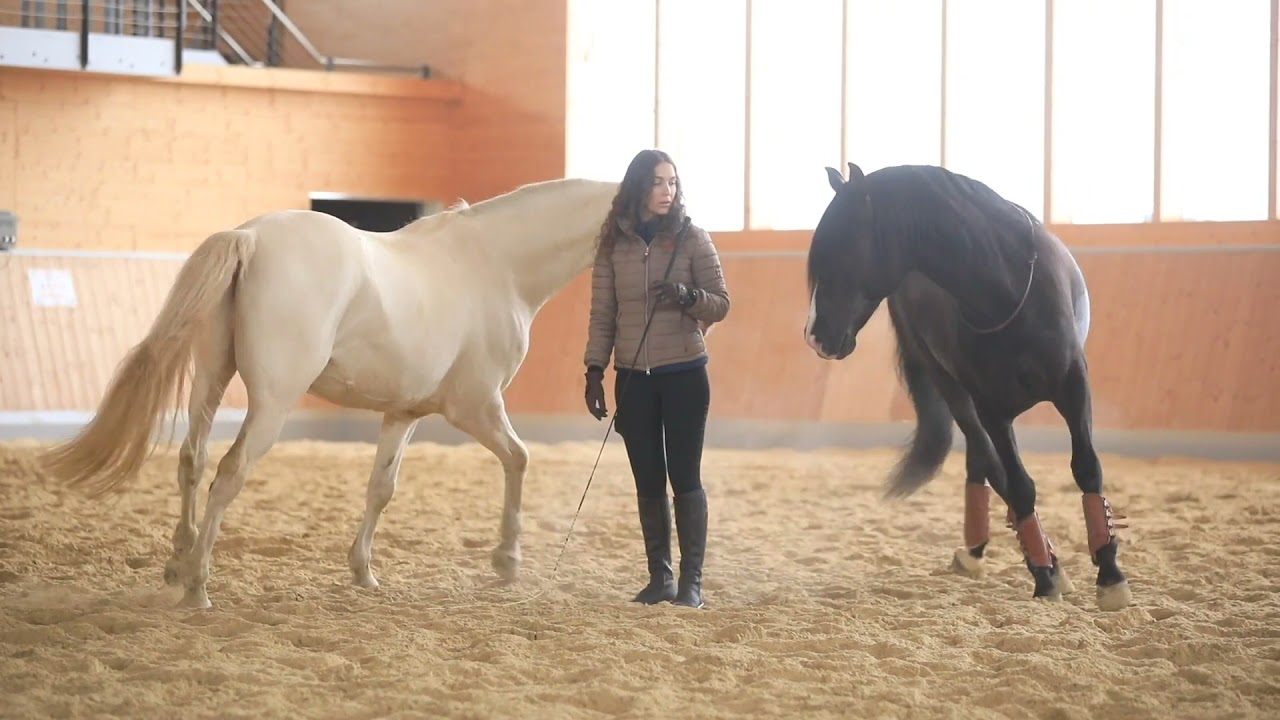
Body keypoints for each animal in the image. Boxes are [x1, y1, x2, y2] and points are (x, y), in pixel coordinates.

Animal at [39, 176, 621, 610]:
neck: (495, 265)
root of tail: (249, 238)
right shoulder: (475, 407)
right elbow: (519, 459)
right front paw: (507, 560)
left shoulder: (403, 413)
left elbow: (381, 488)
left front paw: (363, 572)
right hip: (272, 404)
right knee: (229, 473)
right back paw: (198, 586)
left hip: (209, 380)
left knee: (192, 460)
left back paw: (178, 560)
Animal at [802, 162, 1131, 611]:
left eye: (843, 248)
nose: (815, 338)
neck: (1006, 290)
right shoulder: (991, 408)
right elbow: (1018, 485)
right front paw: (1046, 576)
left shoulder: (1073, 388)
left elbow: (1087, 469)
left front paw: (1110, 574)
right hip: (954, 390)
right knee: (987, 462)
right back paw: (1011, 554)